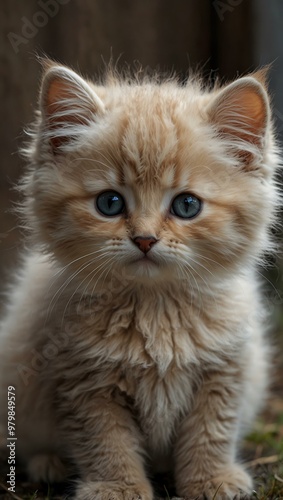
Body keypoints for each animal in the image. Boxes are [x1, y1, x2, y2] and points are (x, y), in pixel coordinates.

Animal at [0, 60, 282, 498]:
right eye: (110, 203)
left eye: (187, 205)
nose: (145, 239)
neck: (155, 310)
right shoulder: (82, 384)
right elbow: (106, 442)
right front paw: (118, 487)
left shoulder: (226, 372)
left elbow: (211, 432)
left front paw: (211, 479)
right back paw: (50, 463)